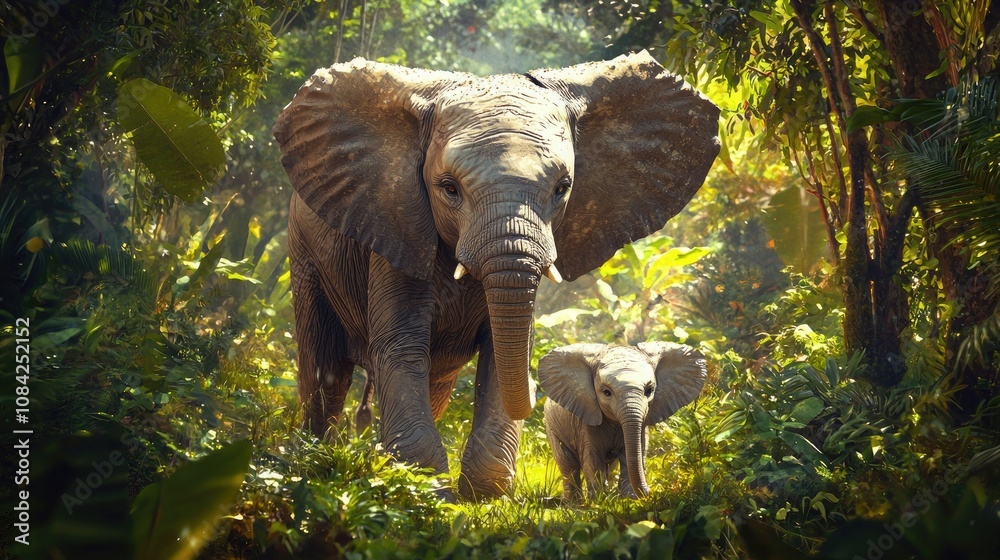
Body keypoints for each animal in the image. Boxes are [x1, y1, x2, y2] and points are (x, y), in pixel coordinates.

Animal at [539, 343, 707, 500]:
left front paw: (629, 499)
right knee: (567, 463)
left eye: (649, 391)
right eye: (606, 392)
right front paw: (600, 502)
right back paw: (574, 504)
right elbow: (592, 459)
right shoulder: (585, 420)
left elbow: (633, 454)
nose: (650, 492)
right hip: (551, 425)